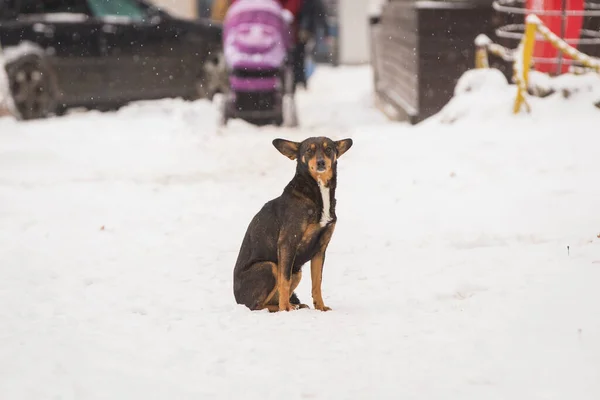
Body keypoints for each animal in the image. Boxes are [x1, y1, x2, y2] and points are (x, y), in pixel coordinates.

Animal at [231, 136, 352, 310]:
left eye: (328, 149)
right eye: (309, 150)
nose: (321, 163)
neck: (317, 191)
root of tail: (238, 301)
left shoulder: (320, 249)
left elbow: (317, 283)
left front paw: (321, 308)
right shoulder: (288, 242)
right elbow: (284, 282)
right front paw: (285, 310)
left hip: (296, 271)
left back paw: (296, 305)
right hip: (270, 266)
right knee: (258, 306)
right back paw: (287, 307)